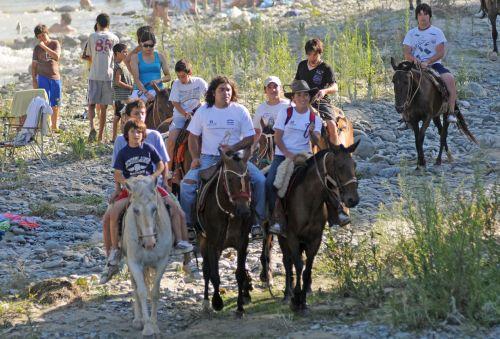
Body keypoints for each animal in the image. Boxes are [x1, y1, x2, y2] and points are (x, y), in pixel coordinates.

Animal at [120, 175, 174, 338]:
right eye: (135, 210)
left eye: (154, 209)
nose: (150, 243)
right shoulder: (134, 263)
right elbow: (142, 292)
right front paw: (148, 327)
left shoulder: (162, 262)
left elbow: (155, 292)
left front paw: (154, 325)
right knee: (134, 287)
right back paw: (139, 320)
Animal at [195, 150, 254, 318]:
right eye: (229, 178)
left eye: (249, 178)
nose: (244, 211)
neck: (229, 212)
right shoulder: (212, 244)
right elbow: (214, 275)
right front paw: (217, 301)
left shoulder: (243, 243)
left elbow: (240, 273)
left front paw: (240, 307)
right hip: (202, 240)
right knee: (206, 270)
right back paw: (206, 302)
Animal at [266, 145, 360, 312]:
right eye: (340, 166)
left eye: (354, 165)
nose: (353, 199)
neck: (309, 199)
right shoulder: (292, 237)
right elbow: (298, 265)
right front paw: (296, 300)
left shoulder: (315, 239)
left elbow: (307, 268)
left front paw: (303, 301)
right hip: (282, 236)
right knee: (287, 261)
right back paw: (287, 293)